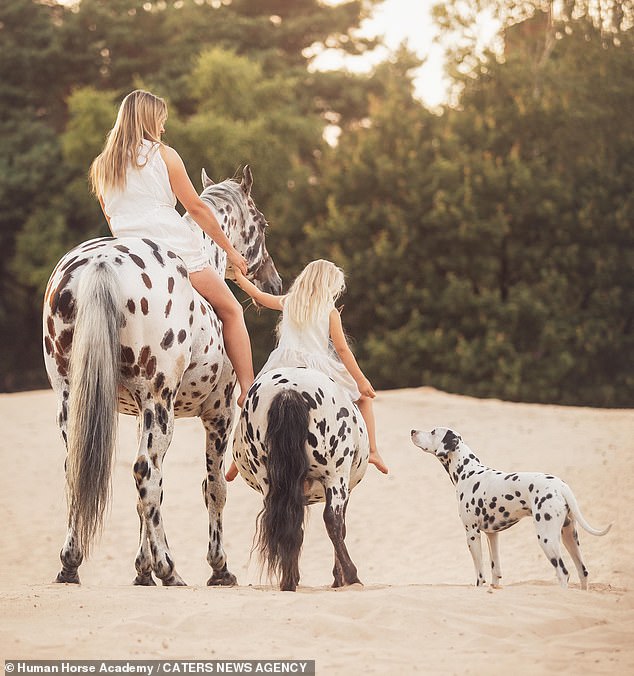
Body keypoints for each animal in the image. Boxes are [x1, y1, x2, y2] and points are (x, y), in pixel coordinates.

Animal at [43, 165, 280, 588]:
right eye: (262, 223)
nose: (274, 282)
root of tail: (101, 263)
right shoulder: (217, 416)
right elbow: (213, 488)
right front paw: (218, 568)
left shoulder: (141, 414)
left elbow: (145, 501)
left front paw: (142, 569)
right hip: (161, 405)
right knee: (146, 473)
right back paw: (170, 569)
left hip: (73, 400)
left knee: (82, 471)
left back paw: (71, 564)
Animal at [231, 364, 368, 592]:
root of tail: (287, 391)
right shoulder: (345, 489)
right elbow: (341, 528)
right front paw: (339, 578)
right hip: (335, 477)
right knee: (332, 521)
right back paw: (352, 575)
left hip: (269, 480)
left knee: (284, 522)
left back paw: (288, 581)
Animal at [408, 430, 608, 588]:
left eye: (433, 431)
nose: (412, 431)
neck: (468, 471)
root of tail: (561, 486)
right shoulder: (492, 535)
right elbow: (496, 571)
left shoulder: (472, 533)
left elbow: (480, 575)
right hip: (570, 536)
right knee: (583, 572)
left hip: (547, 539)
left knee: (563, 573)